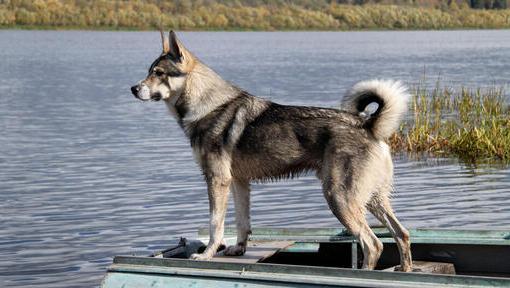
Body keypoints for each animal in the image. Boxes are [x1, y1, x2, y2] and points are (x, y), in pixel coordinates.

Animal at [129, 31, 412, 272]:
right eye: (148, 72)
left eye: (158, 73)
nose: (133, 88)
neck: (205, 104)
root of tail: (368, 125)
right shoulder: (239, 182)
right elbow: (242, 222)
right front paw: (238, 249)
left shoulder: (217, 180)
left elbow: (215, 224)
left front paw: (207, 254)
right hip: (372, 199)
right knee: (401, 233)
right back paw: (404, 270)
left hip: (339, 198)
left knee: (372, 243)